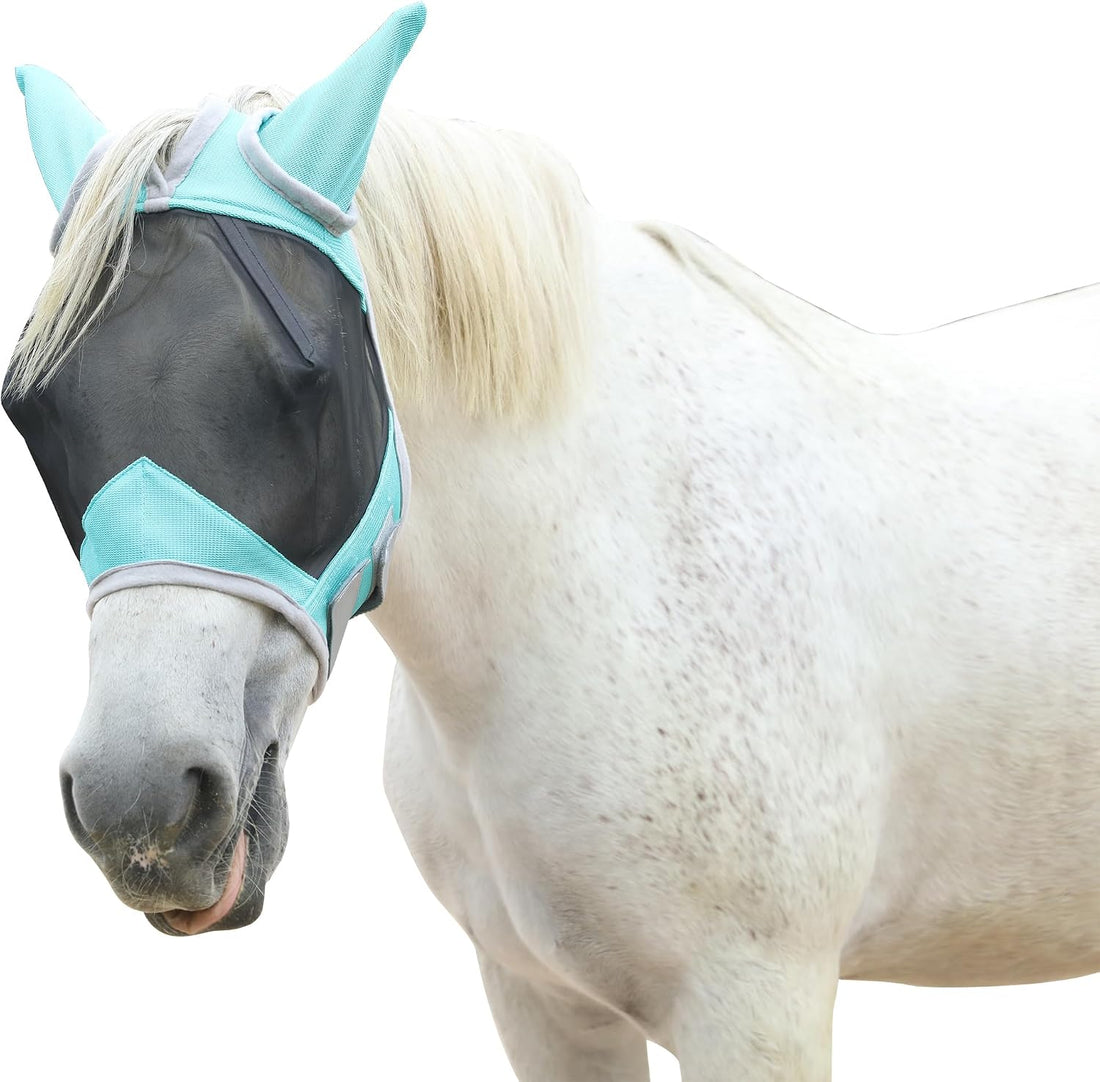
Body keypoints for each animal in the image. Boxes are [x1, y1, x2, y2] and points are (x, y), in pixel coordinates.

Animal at [7, 6, 1100, 1080]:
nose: (142, 805)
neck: (613, 570)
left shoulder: (758, 1005)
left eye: (307, 377)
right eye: (33, 408)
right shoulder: (539, 998)